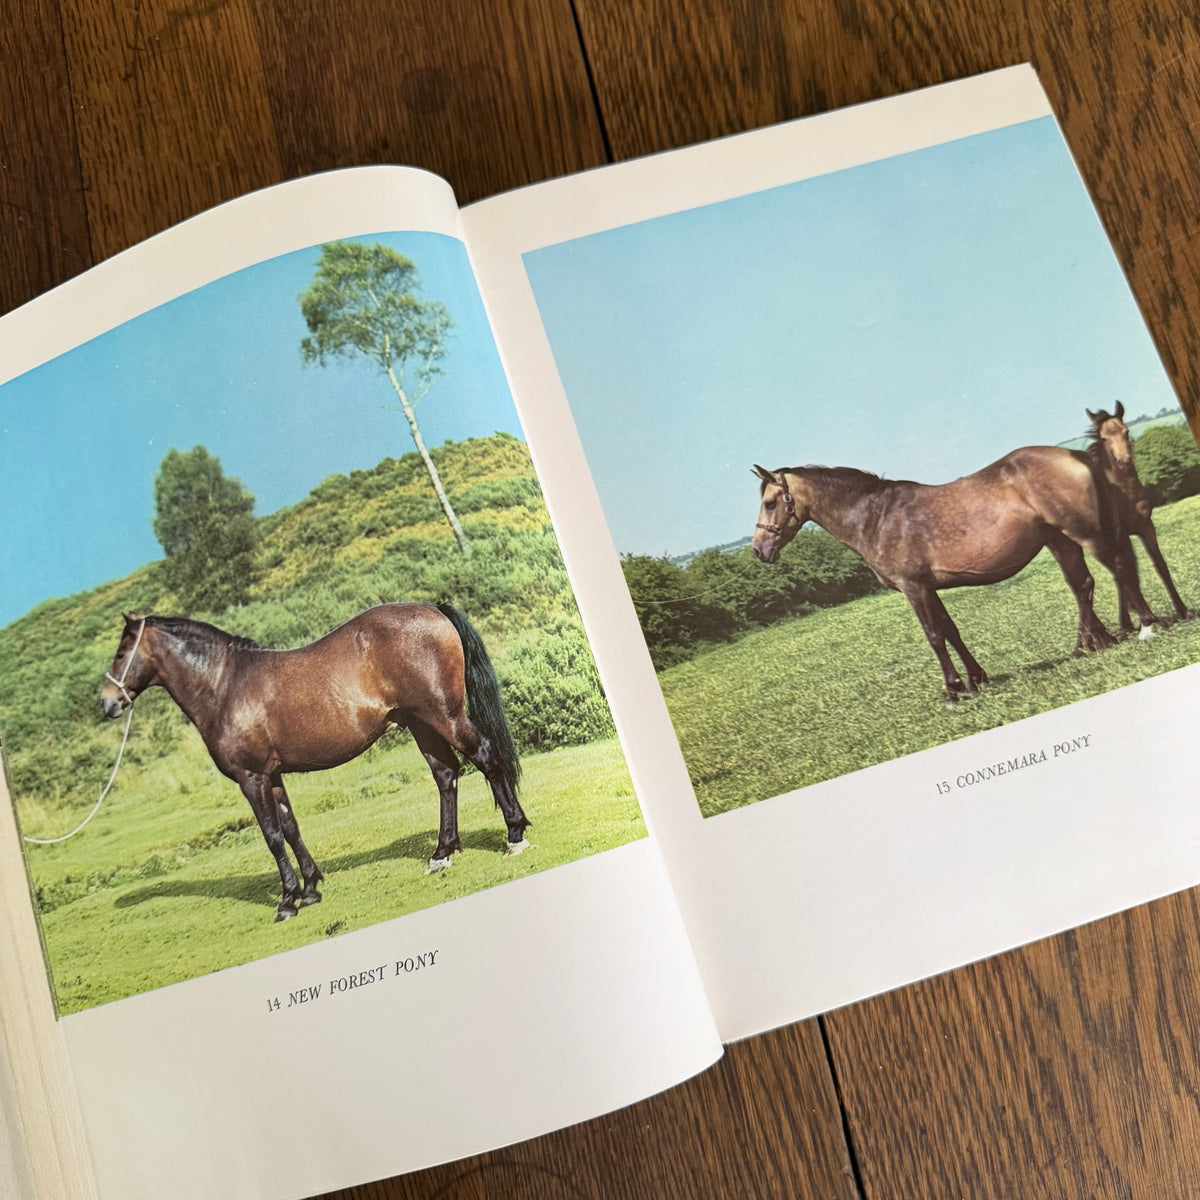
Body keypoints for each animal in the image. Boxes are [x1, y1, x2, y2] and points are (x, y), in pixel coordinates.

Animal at [99, 603, 528, 922]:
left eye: (121, 653)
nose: (107, 702)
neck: (225, 684)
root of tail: (432, 609)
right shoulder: (273, 776)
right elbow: (291, 828)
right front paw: (309, 889)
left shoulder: (251, 778)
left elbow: (272, 836)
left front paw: (287, 901)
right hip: (421, 724)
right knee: (446, 775)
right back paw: (442, 853)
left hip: (445, 716)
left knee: (486, 757)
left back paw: (514, 834)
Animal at [750, 447, 1143, 700]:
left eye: (770, 502)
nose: (758, 550)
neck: (876, 517)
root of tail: (1074, 455)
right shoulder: (928, 587)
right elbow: (951, 630)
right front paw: (976, 678)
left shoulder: (912, 587)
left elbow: (934, 636)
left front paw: (953, 688)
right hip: (1061, 539)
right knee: (1083, 585)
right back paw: (1092, 643)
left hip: (1084, 532)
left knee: (1119, 569)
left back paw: (1140, 625)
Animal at [1085, 401, 1189, 629]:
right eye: (1104, 438)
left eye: (1126, 431)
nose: (1124, 462)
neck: (1126, 493)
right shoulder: (1121, 535)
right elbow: (1127, 572)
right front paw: (1138, 618)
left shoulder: (1146, 527)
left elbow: (1159, 566)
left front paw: (1182, 610)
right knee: (1118, 573)